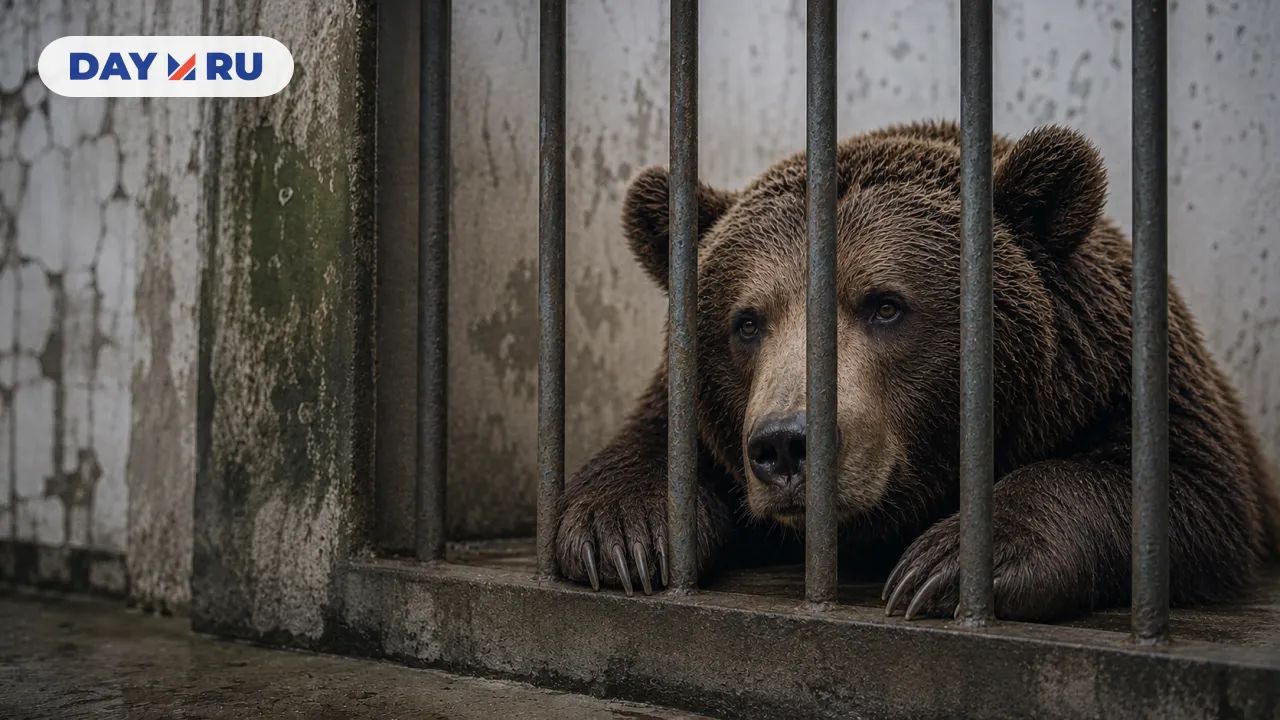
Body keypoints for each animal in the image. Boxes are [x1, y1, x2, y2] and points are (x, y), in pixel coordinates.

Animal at [554, 120, 1280, 621]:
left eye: (885, 305)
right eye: (747, 321)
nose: (786, 445)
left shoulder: (1123, 380)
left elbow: (1184, 486)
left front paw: (946, 564)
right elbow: (648, 449)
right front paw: (623, 538)